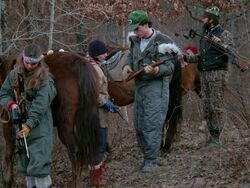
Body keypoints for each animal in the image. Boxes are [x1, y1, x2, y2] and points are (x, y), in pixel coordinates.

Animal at [1, 51, 100, 188]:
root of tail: (79, 63)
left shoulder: (8, 121)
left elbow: (8, 151)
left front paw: (7, 181)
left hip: (64, 126)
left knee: (75, 152)